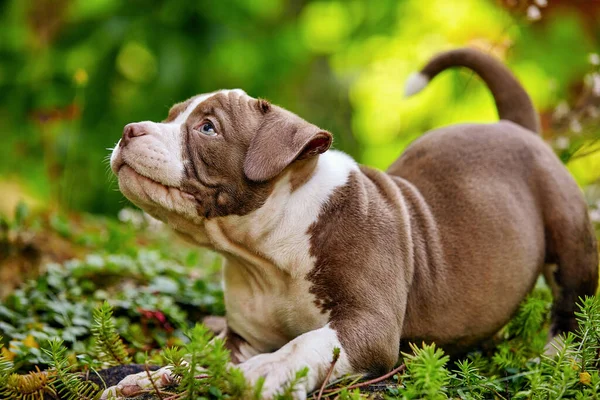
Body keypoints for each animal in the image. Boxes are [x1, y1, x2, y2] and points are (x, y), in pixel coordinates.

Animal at [105, 48, 596, 398]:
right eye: (171, 116)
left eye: (207, 128)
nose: (129, 130)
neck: (266, 252)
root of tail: (518, 128)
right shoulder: (242, 337)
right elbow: (203, 355)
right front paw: (153, 376)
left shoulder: (371, 326)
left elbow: (306, 343)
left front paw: (271, 370)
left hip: (570, 238)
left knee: (572, 303)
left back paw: (556, 358)